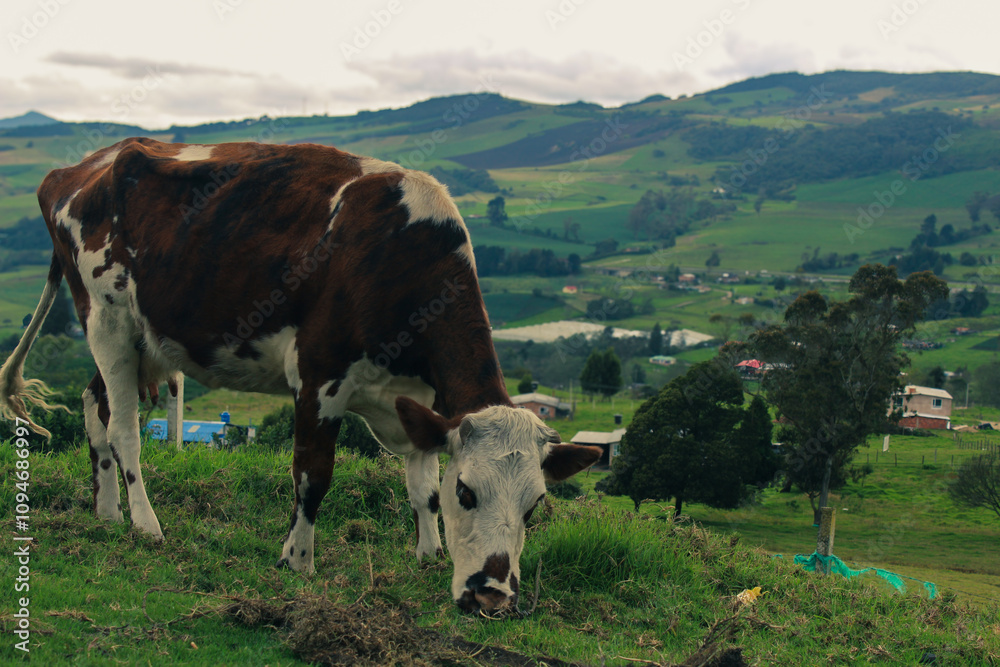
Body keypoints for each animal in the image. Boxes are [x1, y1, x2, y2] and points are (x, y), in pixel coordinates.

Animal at [0, 137, 601, 614]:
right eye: (468, 491)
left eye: (535, 506)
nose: (491, 597)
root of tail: (80, 168)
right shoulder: (319, 377)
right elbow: (314, 475)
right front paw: (298, 560)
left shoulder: (422, 401)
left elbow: (420, 487)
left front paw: (428, 553)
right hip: (106, 318)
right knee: (124, 431)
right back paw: (146, 525)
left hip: (137, 336)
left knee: (94, 407)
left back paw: (106, 515)